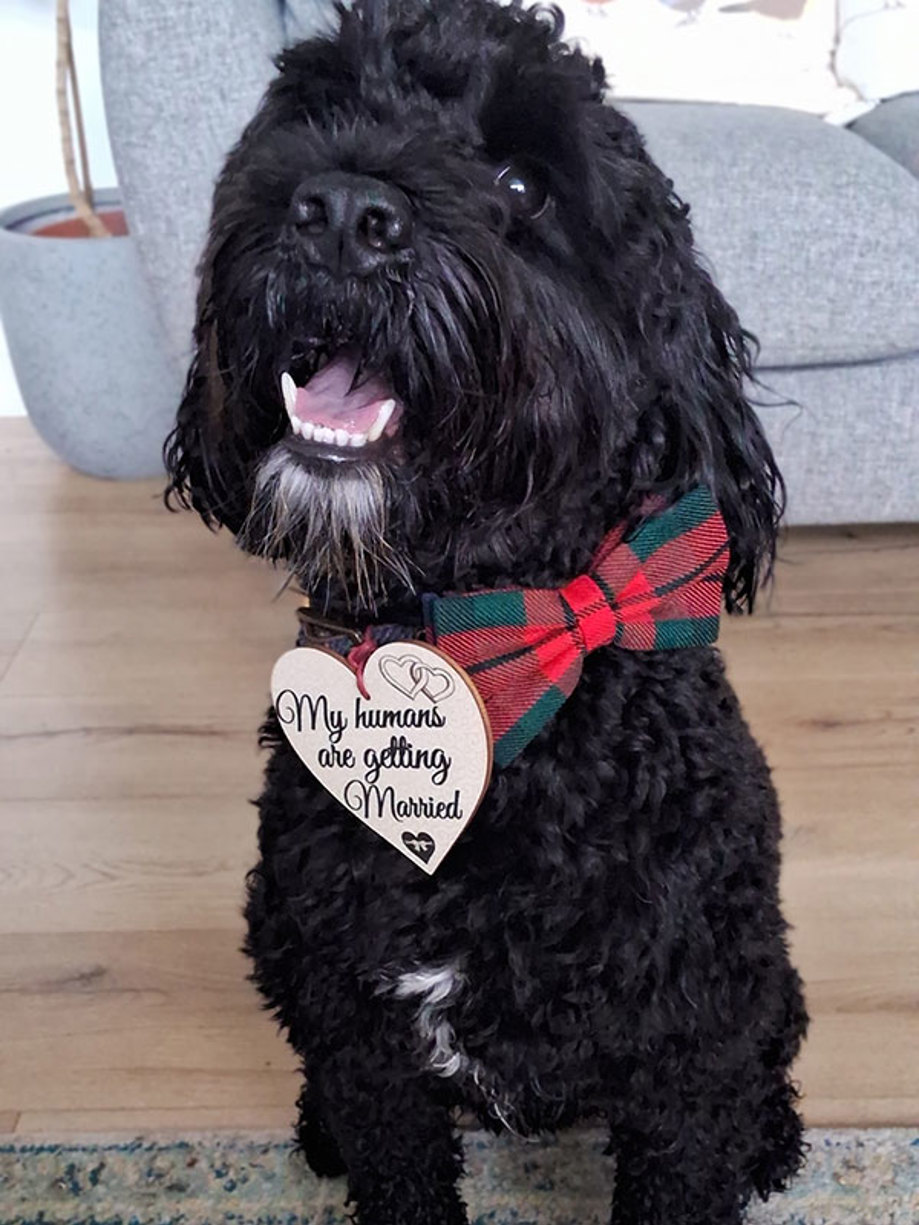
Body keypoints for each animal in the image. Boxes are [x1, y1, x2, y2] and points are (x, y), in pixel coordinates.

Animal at [165, 2, 803, 1225]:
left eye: (520, 183)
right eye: (314, 114)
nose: (339, 213)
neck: (485, 649)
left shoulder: (692, 1048)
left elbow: (690, 1153)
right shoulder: (362, 1035)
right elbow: (396, 1159)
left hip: (764, 977)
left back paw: (773, 1139)